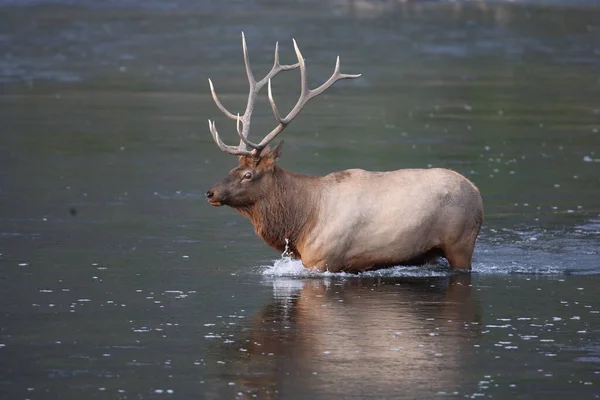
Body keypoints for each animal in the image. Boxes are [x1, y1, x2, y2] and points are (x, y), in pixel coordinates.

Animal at [205, 33, 482, 272]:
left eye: (248, 175)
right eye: (234, 168)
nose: (210, 192)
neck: (300, 224)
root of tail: (477, 192)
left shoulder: (324, 260)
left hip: (460, 243)